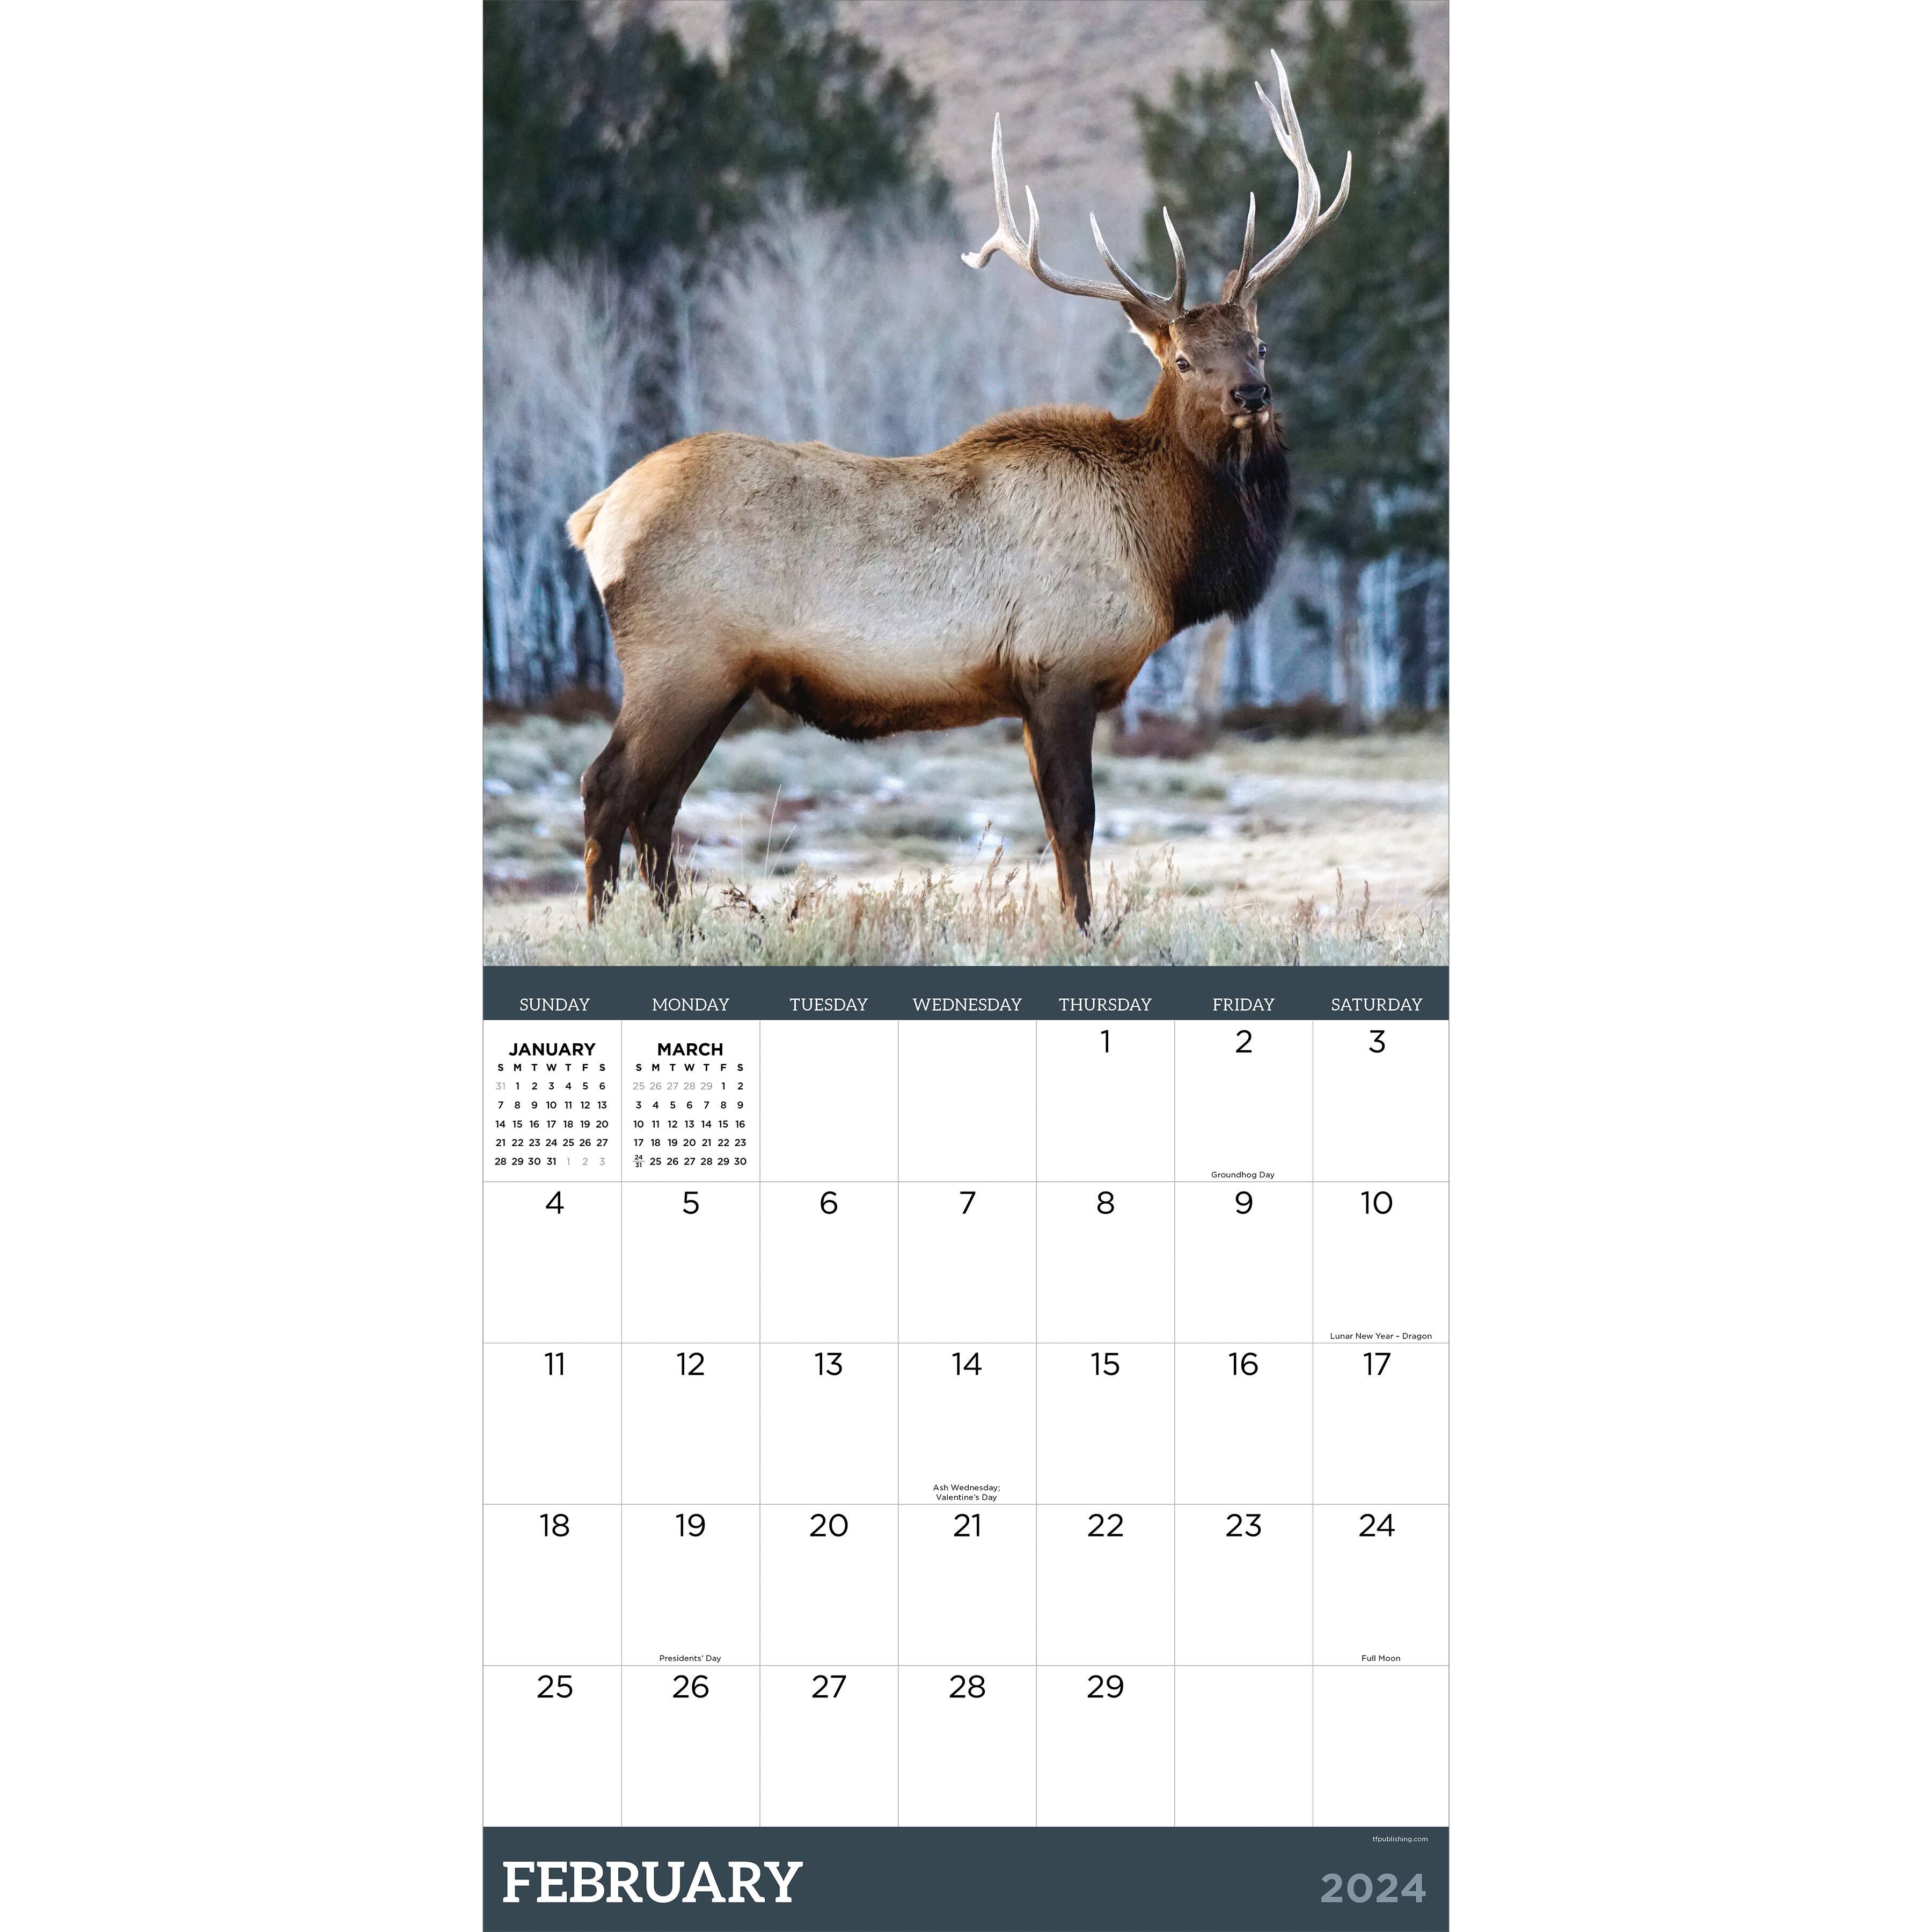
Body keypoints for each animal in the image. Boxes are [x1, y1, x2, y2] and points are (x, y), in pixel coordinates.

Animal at [566, 50, 1349, 928]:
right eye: (1182, 359)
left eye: (1259, 342)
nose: (1253, 394)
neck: (1162, 554)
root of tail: (594, 517)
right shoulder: (1060, 667)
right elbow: (1073, 824)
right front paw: (1082, 930)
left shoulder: (1035, 689)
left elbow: (1057, 827)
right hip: (680, 661)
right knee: (608, 790)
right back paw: (604, 930)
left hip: (716, 679)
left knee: (657, 808)